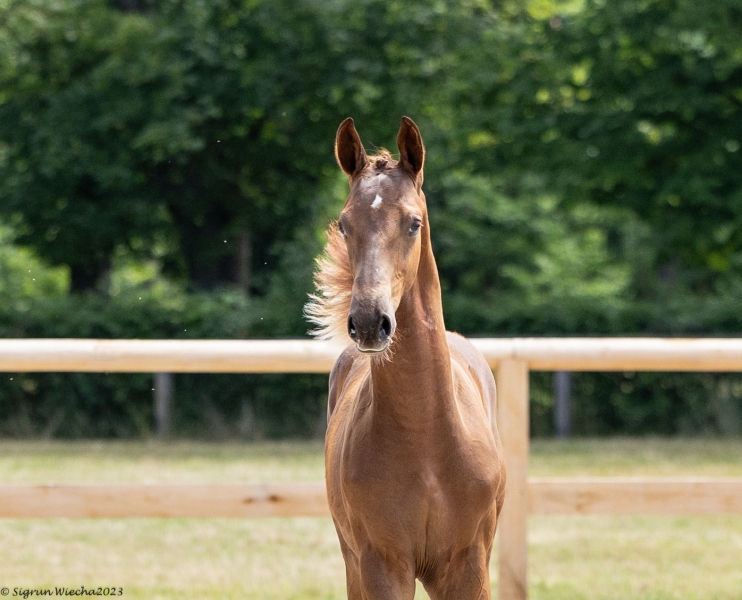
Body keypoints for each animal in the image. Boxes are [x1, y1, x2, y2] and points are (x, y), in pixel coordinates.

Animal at [306, 117, 506, 600]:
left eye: (413, 223)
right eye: (345, 225)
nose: (368, 321)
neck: (425, 436)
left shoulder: (468, 565)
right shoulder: (382, 563)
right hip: (353, 561)